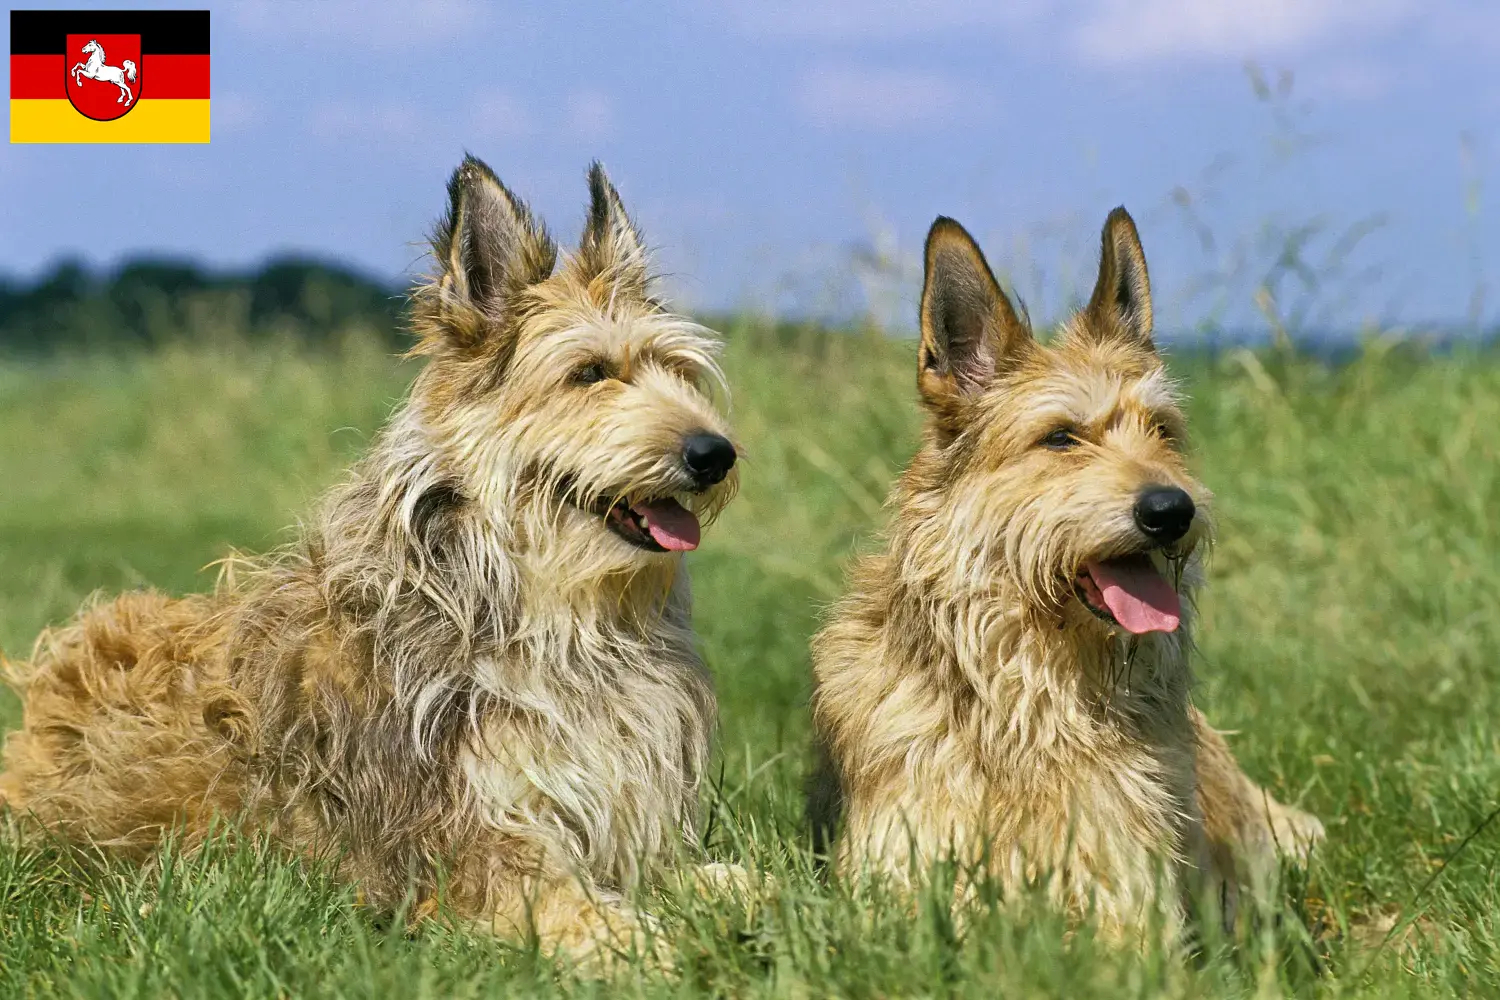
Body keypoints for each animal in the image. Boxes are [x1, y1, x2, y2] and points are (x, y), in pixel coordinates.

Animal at [810, 209, 1326, 947]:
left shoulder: (1130, 897)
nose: (1172, 510)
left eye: (1162, 431)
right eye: (1060, 438)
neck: (1032, 697)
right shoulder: (896, 885)